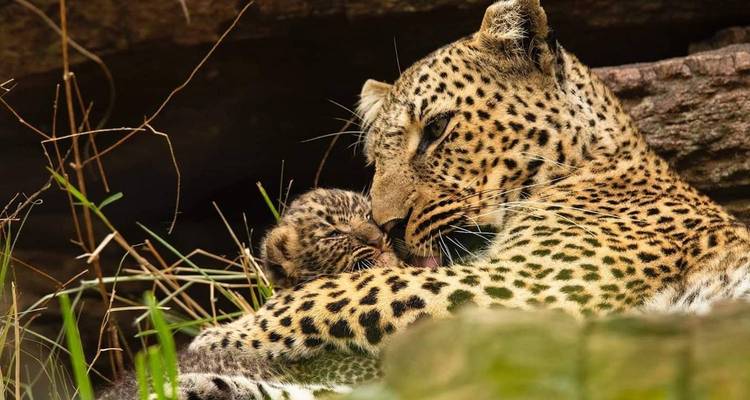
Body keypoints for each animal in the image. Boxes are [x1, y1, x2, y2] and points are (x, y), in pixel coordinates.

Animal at [104, 0, 750, 398]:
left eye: (436, 129)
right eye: (375, 158)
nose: (386, 225)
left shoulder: (525, 289)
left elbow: (347, 292)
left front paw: (212, 339)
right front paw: (199, 370)